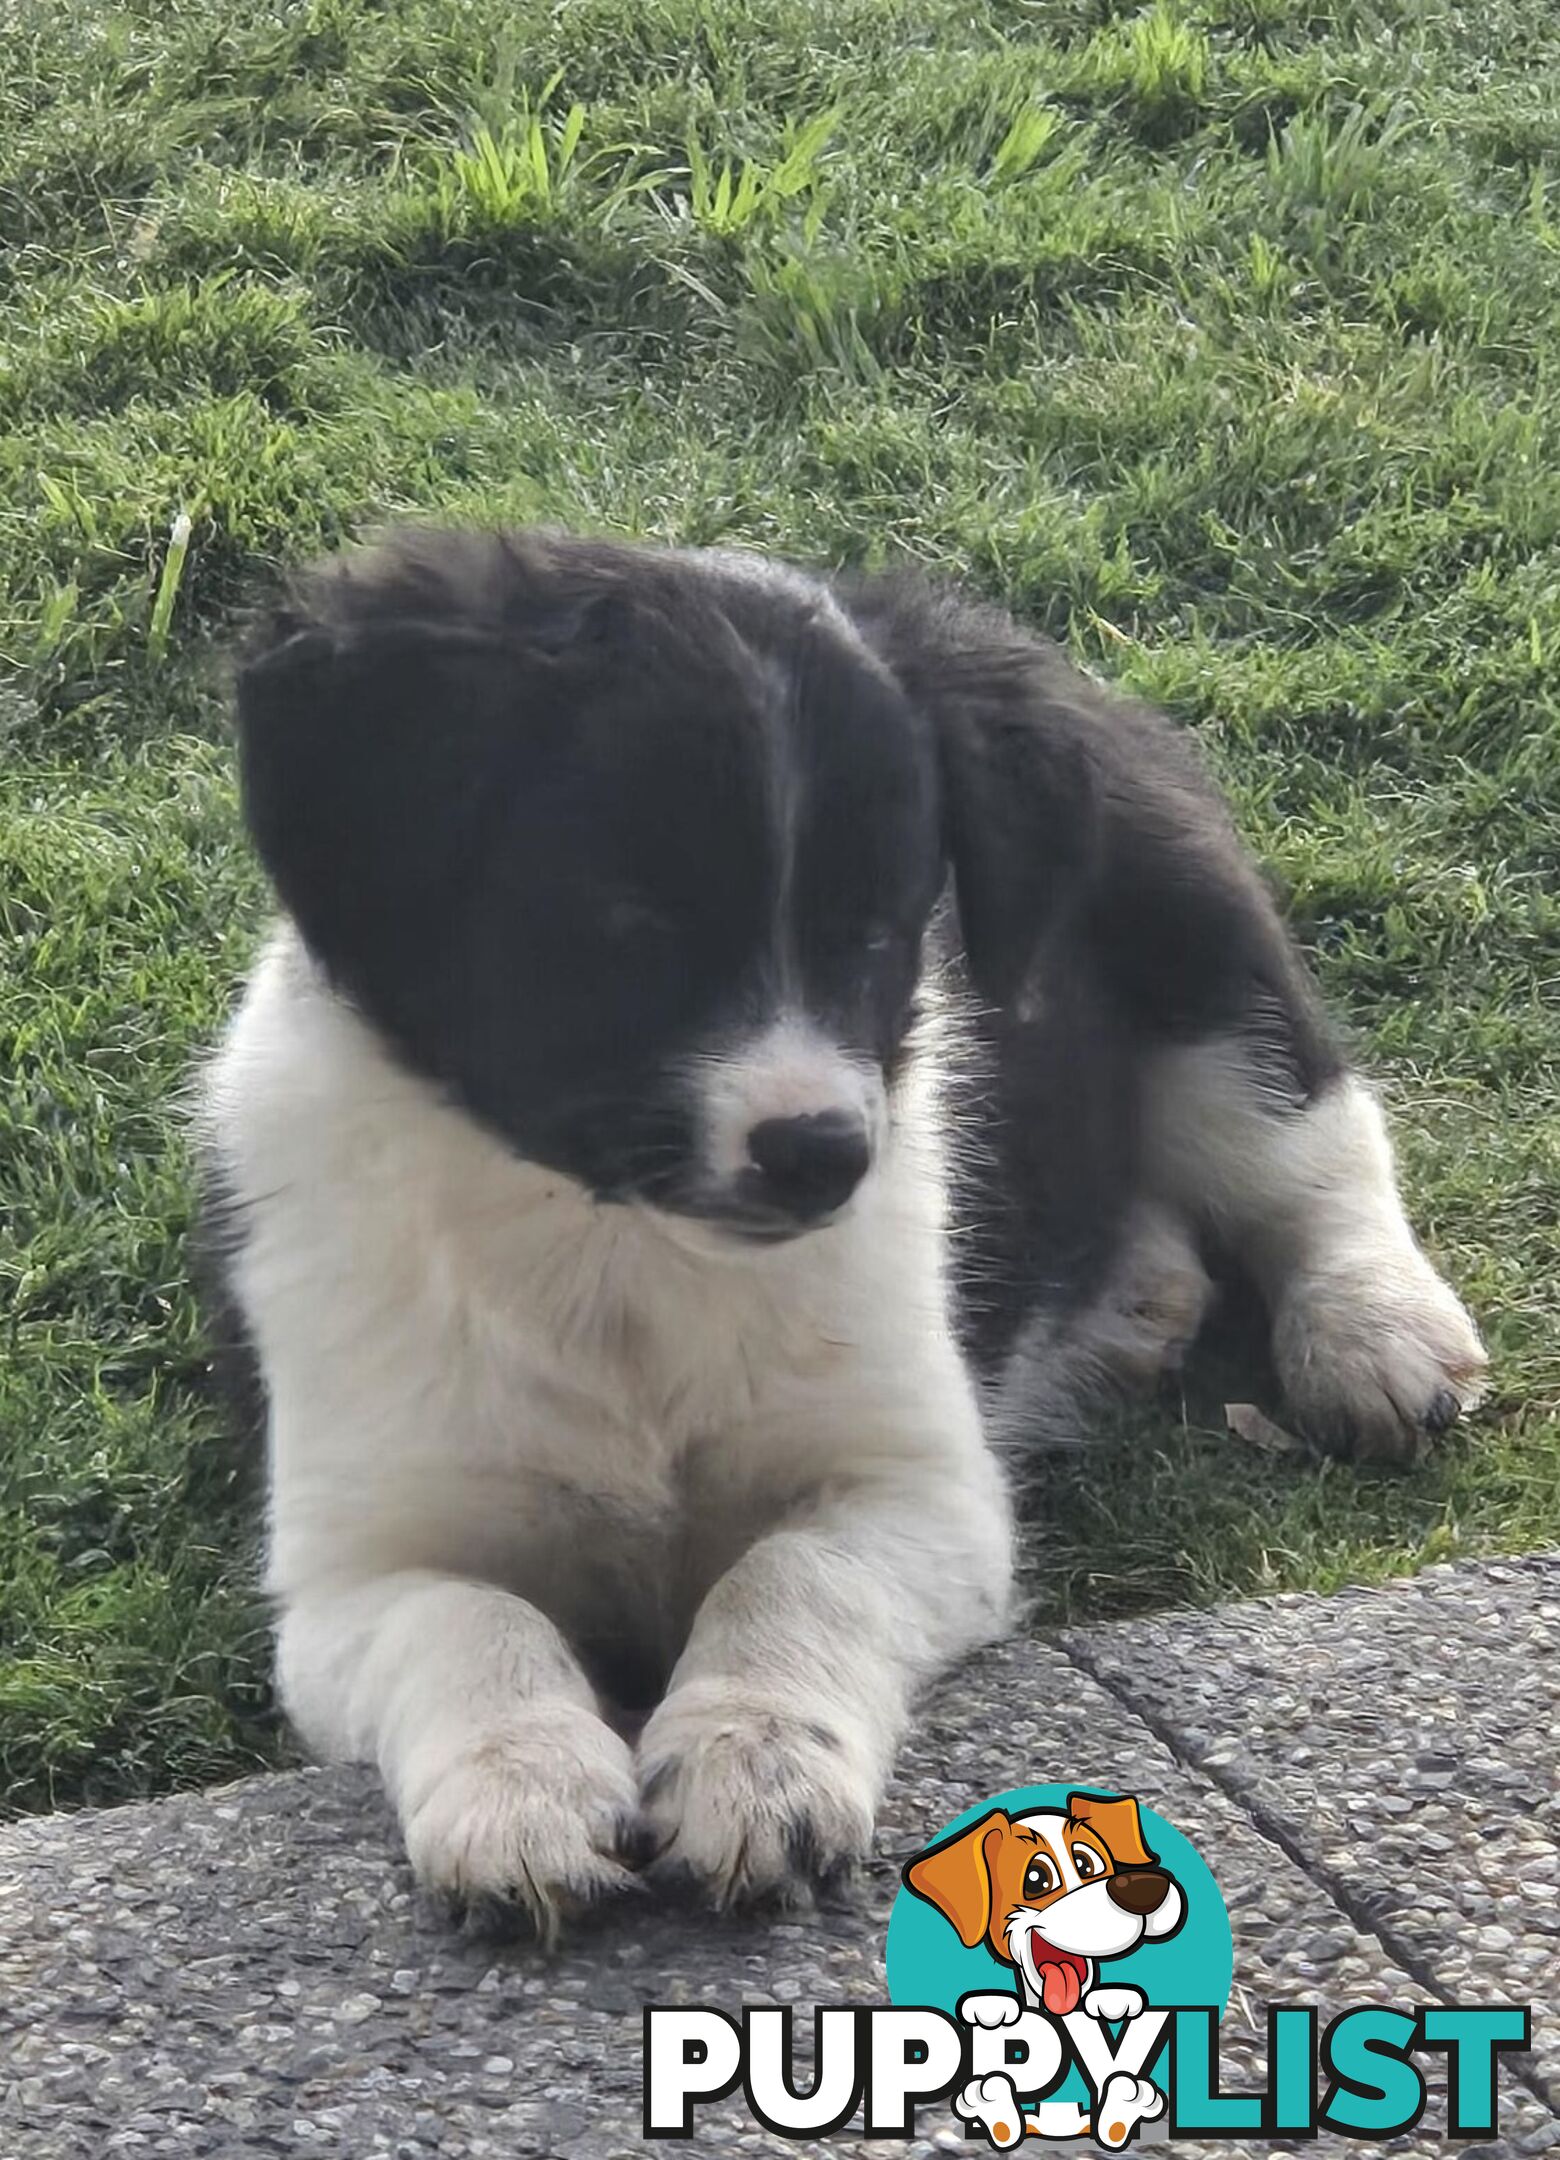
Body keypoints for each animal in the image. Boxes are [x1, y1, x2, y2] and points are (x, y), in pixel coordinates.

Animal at [200, 527, 1477, 1926]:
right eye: (625, 930)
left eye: (876, 933)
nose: (824, 1156)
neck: (617, 1251)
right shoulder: (353, 1566)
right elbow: (470, 1621)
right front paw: (520, 1790)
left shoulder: (919, 1486)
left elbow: (789, 1575)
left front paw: (751, 1761)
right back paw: (1136, 1300)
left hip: (1191, 932)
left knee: (1310, 1137)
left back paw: (1374, 1329)